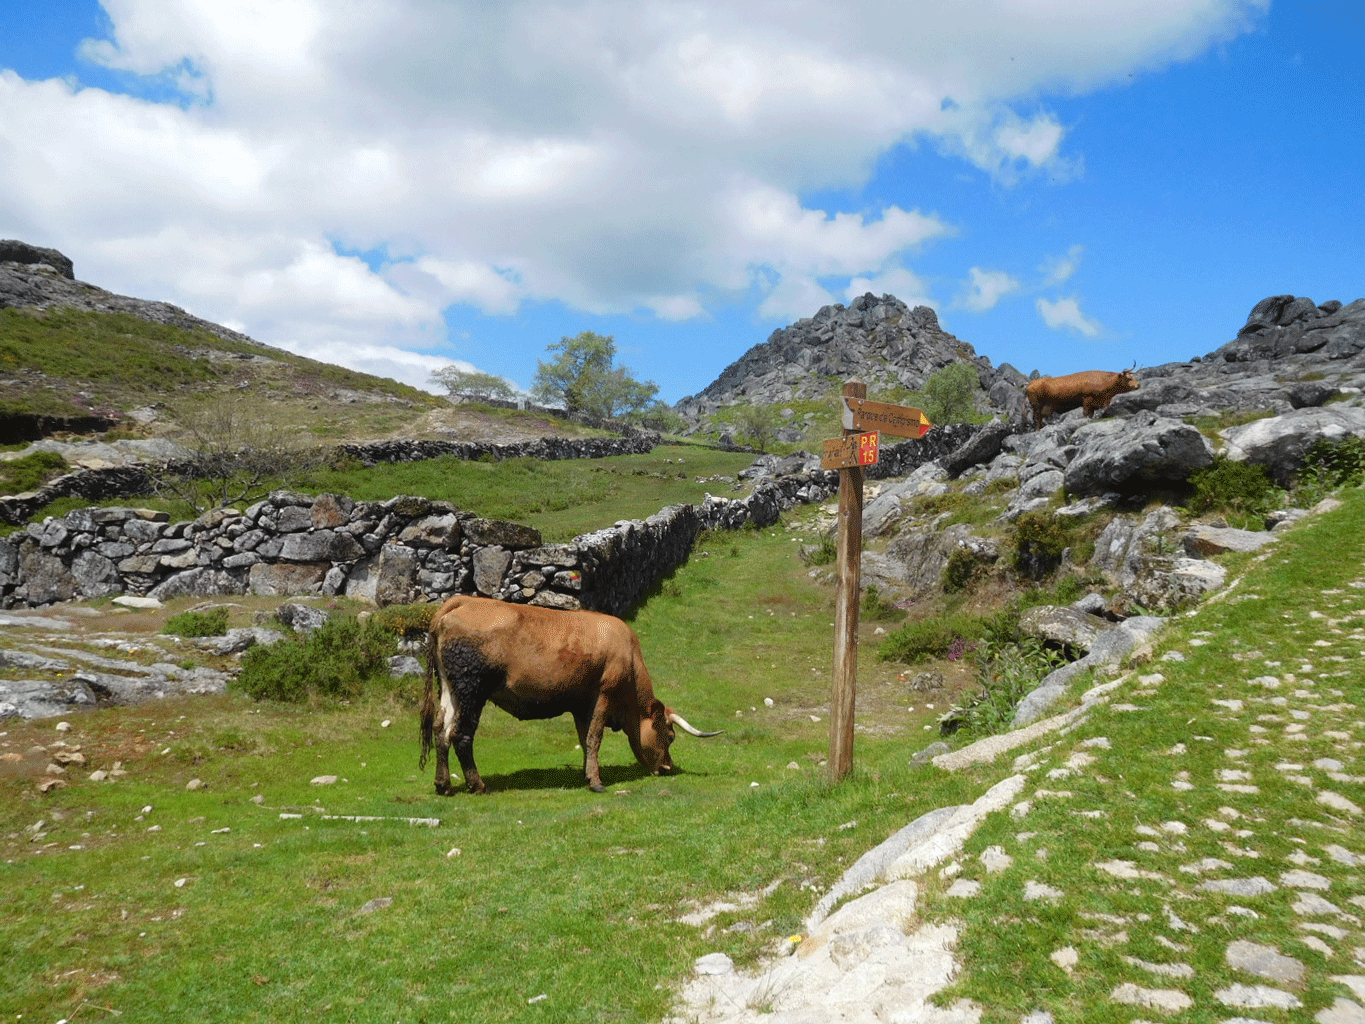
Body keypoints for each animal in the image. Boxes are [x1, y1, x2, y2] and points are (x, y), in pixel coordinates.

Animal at [414, 592, 720, 791]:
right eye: (670, 736)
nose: (668, 768)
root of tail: (462, 601)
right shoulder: (603, 696)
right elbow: (595, 738)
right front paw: (596, 782)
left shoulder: (581, 705)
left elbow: (585, 739)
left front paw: (588, 774)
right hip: (472, 690)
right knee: (461, 734)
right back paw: (477, 784)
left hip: (451, 689)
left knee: (441, 729)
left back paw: (442, 784)